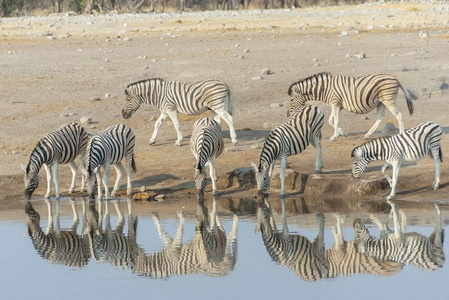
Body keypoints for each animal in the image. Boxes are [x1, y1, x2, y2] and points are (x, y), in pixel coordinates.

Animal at [288, 72, 416, 141]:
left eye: (291, 99)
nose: (288, 114)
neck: (325, 89)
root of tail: (396, 79)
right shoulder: (337, 105)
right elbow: (331, 120)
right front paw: (342, 133)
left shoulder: (335, 103)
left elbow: (336, 120)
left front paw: (334, 136)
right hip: (381, 102)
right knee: (380, 118)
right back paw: (367, 135)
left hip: (388, 100)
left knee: (399, 115)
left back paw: (401, 134)